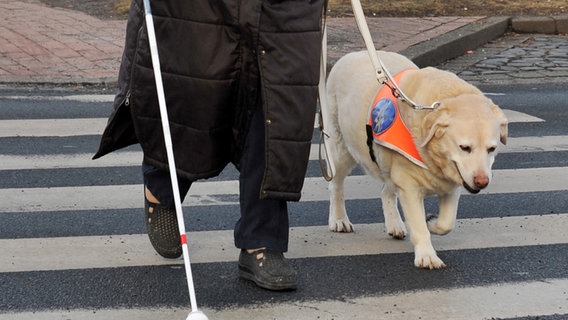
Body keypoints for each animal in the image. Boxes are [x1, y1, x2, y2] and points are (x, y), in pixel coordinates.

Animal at [322, 51, 508, 268]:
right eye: (465, 148)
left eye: (492, 149)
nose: (482, 182)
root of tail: (353, 54)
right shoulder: (408, 185)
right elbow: (419, 226)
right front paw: (427, 256)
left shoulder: (452, 185)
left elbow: (447, 223)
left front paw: (433, 223)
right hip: (342, 148)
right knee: (336, 184)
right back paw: (339, 219)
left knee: (386, 190)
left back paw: (394, 224)